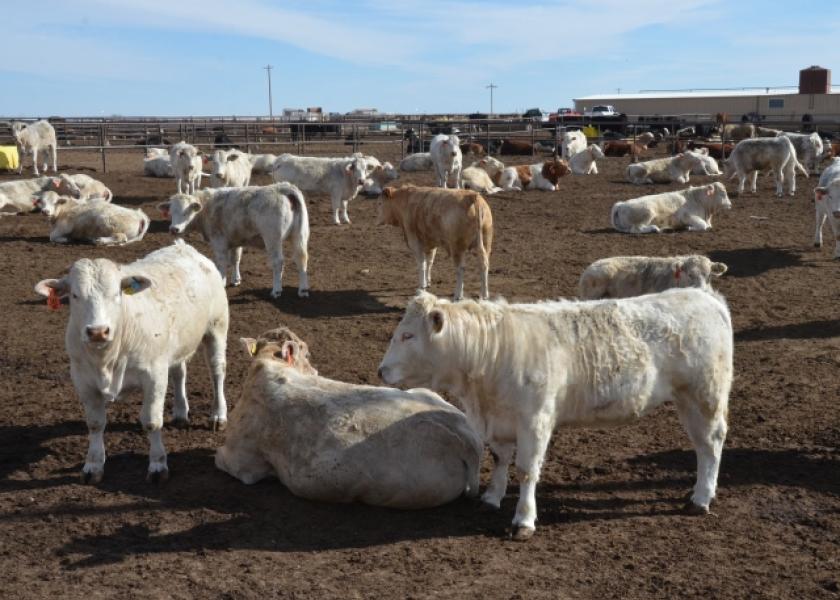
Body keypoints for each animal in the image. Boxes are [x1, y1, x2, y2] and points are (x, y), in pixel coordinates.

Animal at [33, 239, 230, 482]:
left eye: (117, 293)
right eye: (75, 295)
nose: (98, 331)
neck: (106, 359)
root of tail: (183, 246)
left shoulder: (154, 376)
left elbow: (152, 421)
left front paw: (157, 465)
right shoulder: (83, 380)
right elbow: (95, 424)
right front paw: (93, 465)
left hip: (217, 328)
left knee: (217, 371)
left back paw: (218, 415)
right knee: (179, 372)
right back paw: (180, 412)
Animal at [162, 180, 312, 298]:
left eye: (187, 212)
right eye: (171, 212)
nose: (174, 229)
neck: (207, 208)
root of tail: (283, 187)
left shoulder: (219, 242)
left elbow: (222, 263)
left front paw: (222, 281)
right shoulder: (236, 240)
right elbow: (235, 259)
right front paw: (236, 280)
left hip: (272, 238)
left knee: (278, 262)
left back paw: (276, 290)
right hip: (299, 235)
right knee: (301, 259)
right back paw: (303, 290)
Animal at [213, 326, 482, 508]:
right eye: (307, 356)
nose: (315, 371)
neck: (270, 365)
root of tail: (465, 439)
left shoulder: (243, 462)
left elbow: (219, 457)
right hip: (425, 393)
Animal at [378, 290, 732, 540]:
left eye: (408, 335)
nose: (381, 371)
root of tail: (705, 296)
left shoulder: (535, 419)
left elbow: (526, 470)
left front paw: (523, 520)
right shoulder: (499, 421)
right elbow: (500, 459)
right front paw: (492, 497)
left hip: (705, 394)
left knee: (711, 443)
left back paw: (701, 499)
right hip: (688, 400)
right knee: (702, 446)